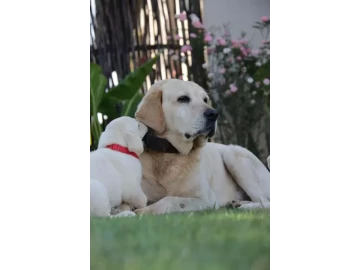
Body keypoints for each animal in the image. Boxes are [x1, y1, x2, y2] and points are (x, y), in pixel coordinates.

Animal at [134, 79, 270, 214]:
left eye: (205, 99)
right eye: (183, 98)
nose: (214, 114)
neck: (169, 154)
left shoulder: (206, 200)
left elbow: (171, 200)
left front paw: (143, 211)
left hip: (232, 155)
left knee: (265, 202)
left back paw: (245, 206)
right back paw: (237, 203)